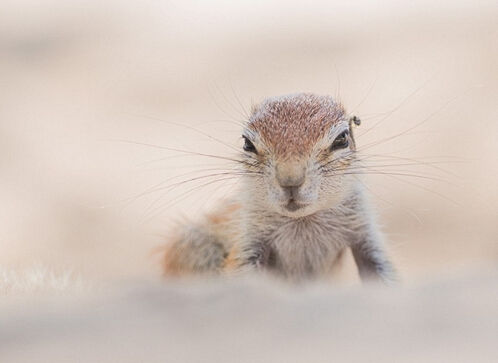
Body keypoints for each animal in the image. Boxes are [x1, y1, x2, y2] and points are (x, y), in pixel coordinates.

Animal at [163, 93, 396, 284]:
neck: (303, 221)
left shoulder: (365, 231)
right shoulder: (248, 238)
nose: (290, 180)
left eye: (342, 139)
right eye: (247, 144)